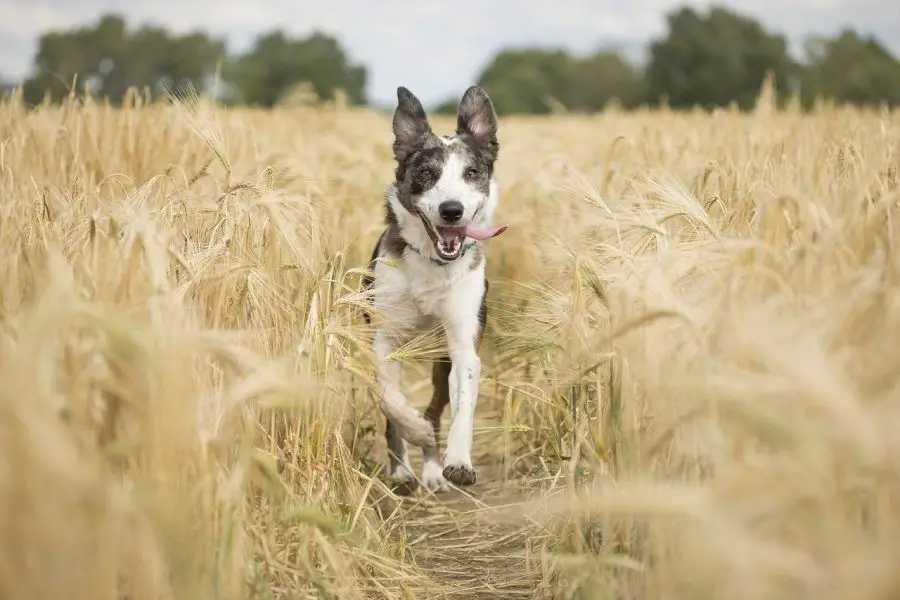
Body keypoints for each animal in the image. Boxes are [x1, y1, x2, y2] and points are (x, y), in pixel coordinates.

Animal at [362, 85, 510, 496]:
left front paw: (457, 462)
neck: (432, 263)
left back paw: (431, 470)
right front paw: (414, 433)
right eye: (427, 174)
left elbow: (463, 407)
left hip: (440, 362)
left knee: (437, 406)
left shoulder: (461, 346)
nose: (451, 210)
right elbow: (390, 401)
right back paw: (403, 470)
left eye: (472, 173)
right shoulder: (384, 339)